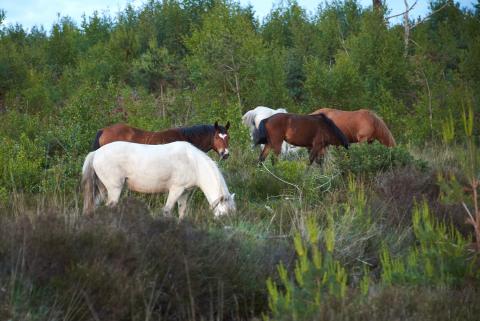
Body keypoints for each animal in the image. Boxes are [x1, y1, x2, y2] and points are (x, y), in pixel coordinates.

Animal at [82, 141, 236, 219]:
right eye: (224, 215)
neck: (194, 163)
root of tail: (96, 153)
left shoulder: (184, 192)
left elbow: (182, 212)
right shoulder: (176, 189)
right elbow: (167, 211)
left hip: (103, 189)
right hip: (114, 189)